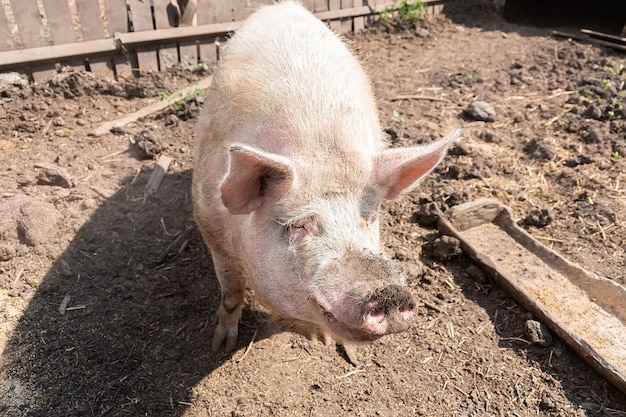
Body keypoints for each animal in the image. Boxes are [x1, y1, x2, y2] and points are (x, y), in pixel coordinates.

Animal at [190, 0, 458, 354]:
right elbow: (232, 293)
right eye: (299, 225)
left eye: (368, 219)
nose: (388, 291)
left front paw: (326, 341)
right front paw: (220, 346)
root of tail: (284, 6)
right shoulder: (209, 224)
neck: (320, 150)